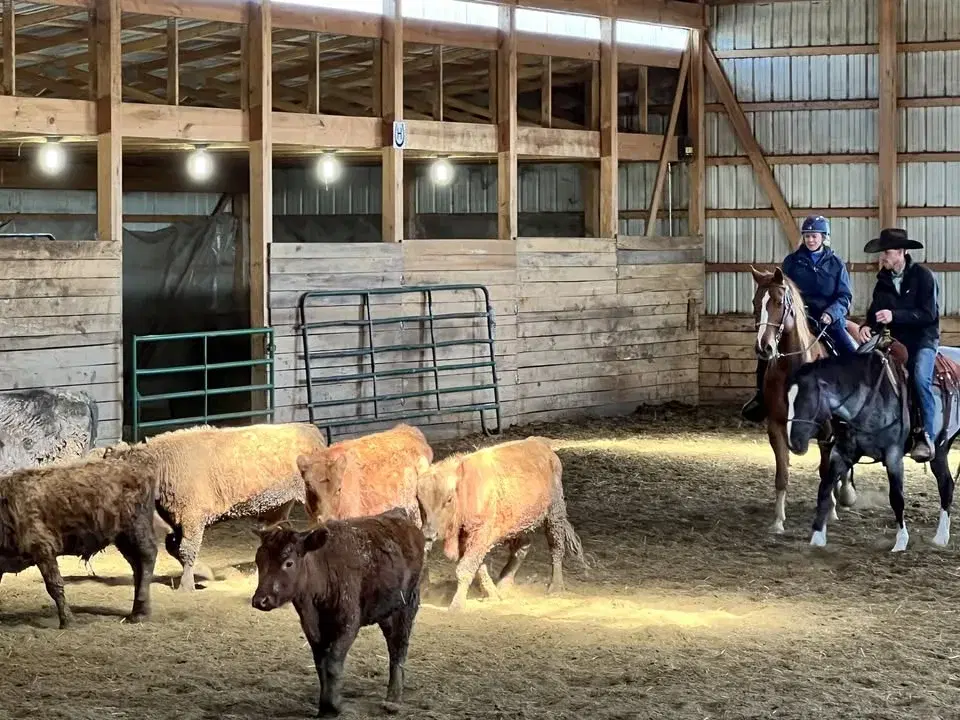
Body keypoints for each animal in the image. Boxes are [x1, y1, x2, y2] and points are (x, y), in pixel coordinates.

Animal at [0, 452, 158, 629]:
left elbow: (55, 586)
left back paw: (140, 612)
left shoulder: (43, 549)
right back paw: (138, 612)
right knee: (136, 565)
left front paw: (67, 621)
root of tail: (142, 471)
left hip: (136, 528)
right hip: (122, 537)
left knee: (147, 557)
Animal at [251, 508, 425, 716]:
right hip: (387, 610)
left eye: (289, 563)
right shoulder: (312, 628)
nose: (260, 600)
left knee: (399, 646)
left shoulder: (348, 624)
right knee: (392, 641)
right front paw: (323, 707)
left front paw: (333, 706)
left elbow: (333, 664)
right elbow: (320, 664)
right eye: (258, 560)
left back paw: (393, 700)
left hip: (408, 603)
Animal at [416, 436, 587, 611]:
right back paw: (504, 584)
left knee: (556, 547)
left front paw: (457, 605)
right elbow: (479, 567)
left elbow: (465, 568)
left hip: (554, 515)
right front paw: (493, 595)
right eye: (419, 498)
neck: (466, 488)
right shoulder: (467, 540)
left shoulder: (480, 534)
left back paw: (555, 587)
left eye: (449, 499)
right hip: (518, 524)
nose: (429, 534)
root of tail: (541, 444)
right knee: (522, 548)